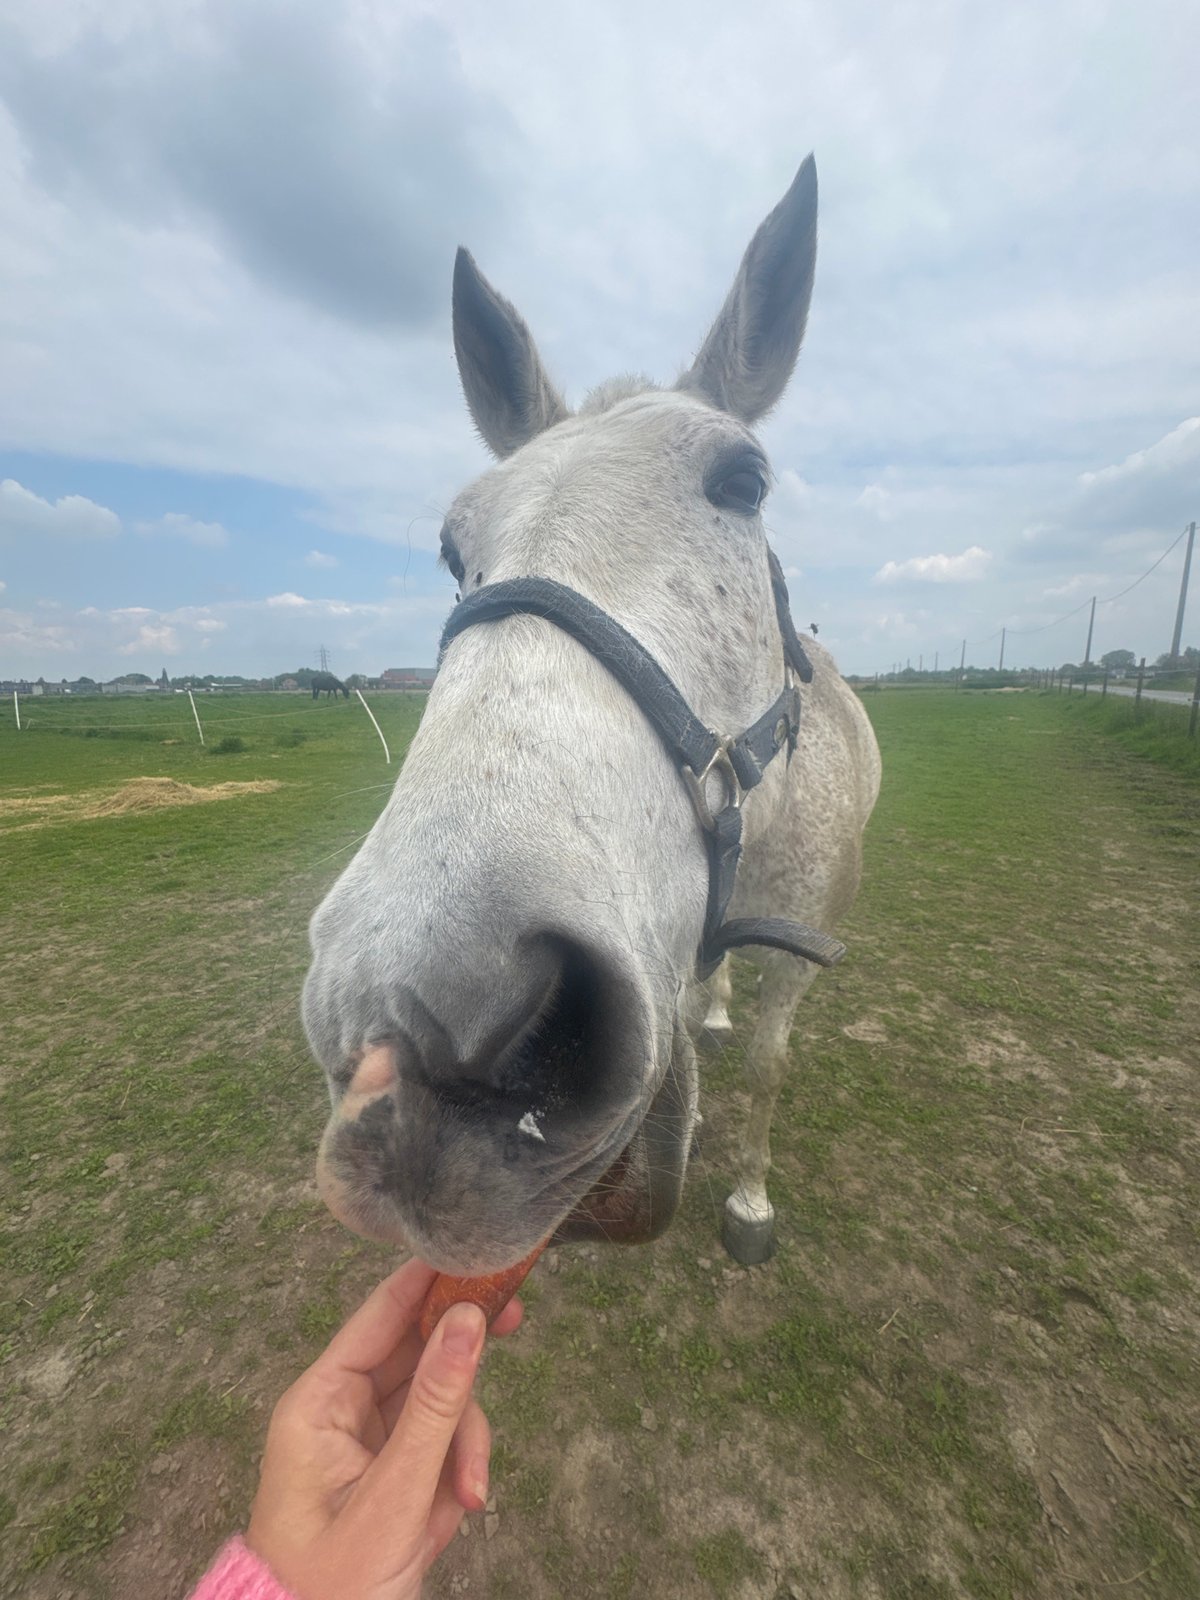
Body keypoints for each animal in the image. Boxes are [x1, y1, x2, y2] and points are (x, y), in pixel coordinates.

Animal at [303, 157, 881, 1274]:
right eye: (452, 546)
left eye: (744, 481)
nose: (431, 1023)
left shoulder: (801, 948)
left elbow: (769, 1069)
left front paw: (750, 1199)